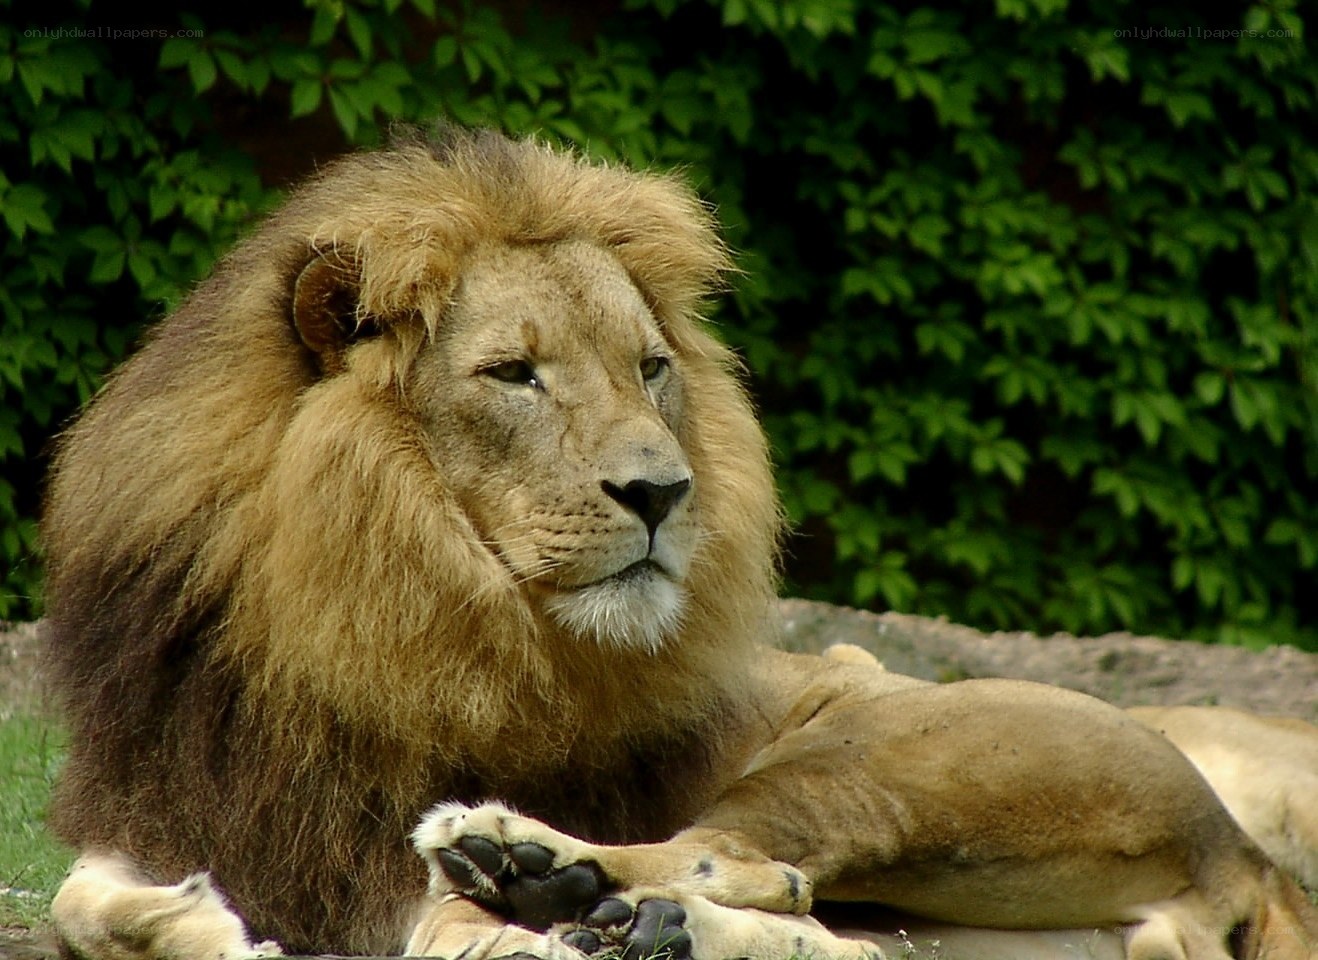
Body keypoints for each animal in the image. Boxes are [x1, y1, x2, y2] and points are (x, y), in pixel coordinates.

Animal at [41, 127, 1318, 960]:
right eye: (514, 373)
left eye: (650, 367)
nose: (663, 491)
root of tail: (1243, 856)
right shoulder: (177, 806)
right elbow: (75, 899)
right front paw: (195, 921)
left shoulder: (390, 879)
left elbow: (444, 937)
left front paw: (522, 917)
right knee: (852, 942)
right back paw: (635, 925)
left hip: (877, 751)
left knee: (739, 856)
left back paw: (539, 870)